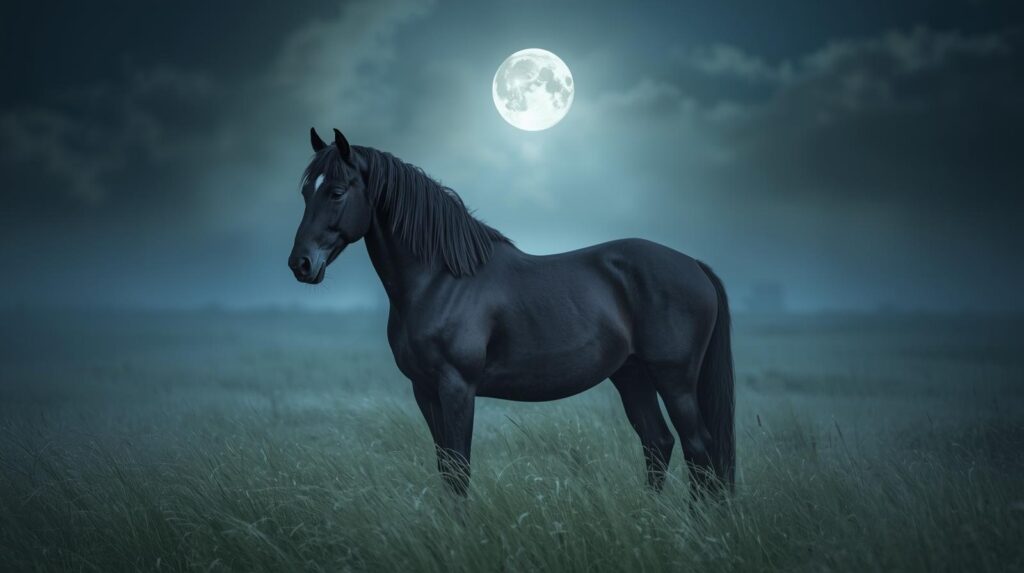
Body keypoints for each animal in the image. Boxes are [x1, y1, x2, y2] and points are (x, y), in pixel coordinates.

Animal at [289, 128, 735, 497]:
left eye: (337, 192)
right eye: (307, 192)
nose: (300, 264)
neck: (441, 279)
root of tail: (694, 265)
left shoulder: (457, 387)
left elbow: (459, 470)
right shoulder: (424, 389)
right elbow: (445, 468)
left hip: (674, 380)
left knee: (699, 450)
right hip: (632, 375)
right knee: (658, 443)